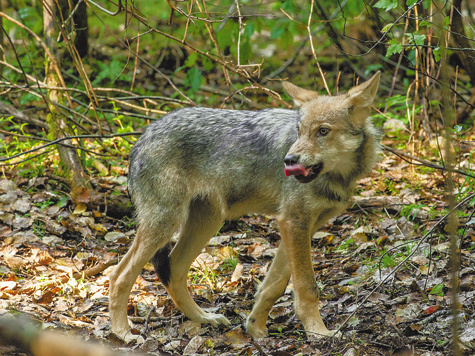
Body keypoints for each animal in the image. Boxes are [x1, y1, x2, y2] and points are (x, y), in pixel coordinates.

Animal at [109, 71, 382, 340]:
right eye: (300, 131)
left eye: (323, 131)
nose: (288, 160)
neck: (339, 176)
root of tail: (140, 139)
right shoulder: (294, 223)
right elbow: (307, 287)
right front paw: (318, 331)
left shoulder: (300, 227)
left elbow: (274, 286)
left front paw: (255, 328)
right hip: (166, 225)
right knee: (118, 276)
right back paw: (123, 333)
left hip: (205, 224)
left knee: (173, 270)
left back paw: (204, 318)